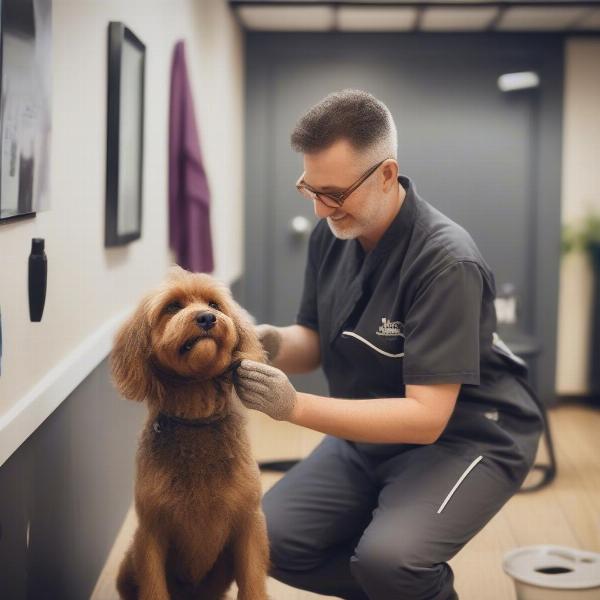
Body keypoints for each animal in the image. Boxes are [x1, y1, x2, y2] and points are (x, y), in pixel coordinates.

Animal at [111, 266, 270, 600]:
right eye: (173, 306)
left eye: (214, 304)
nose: (207, 318)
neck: (196, 418)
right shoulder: (151, 533)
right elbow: (153, 588)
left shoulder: (249, 525)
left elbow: (252, 584)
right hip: (128, 565)